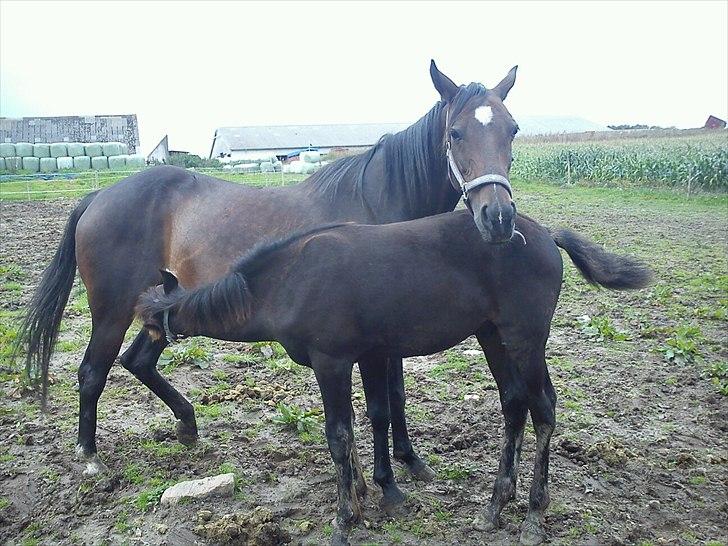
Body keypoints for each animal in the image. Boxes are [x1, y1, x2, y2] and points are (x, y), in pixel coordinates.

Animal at [17, 60, 516, 484]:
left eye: (511, 129)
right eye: (455, 132)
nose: (498, 217)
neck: (378, 204)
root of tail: (97, 197)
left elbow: (396, 395)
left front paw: (410, 460)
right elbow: (388, 399)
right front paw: (400, 466)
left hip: (165, 307)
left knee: (136, 361)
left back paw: (188, 426)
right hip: (112, 310)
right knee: (92, 372)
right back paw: (89, 457)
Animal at [138, 209, 656, 544]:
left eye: (149, 325)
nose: (134, 356)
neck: (290, 279)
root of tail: (546, 235)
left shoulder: (332, 362)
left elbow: (338, 434)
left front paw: (345, 519)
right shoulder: (369, 355)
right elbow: (368, 420)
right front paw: (370, 494)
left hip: (525, 338)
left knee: (543, 407)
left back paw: (532, 514)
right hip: (493, 337)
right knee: (514, 403)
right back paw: (495, 505)